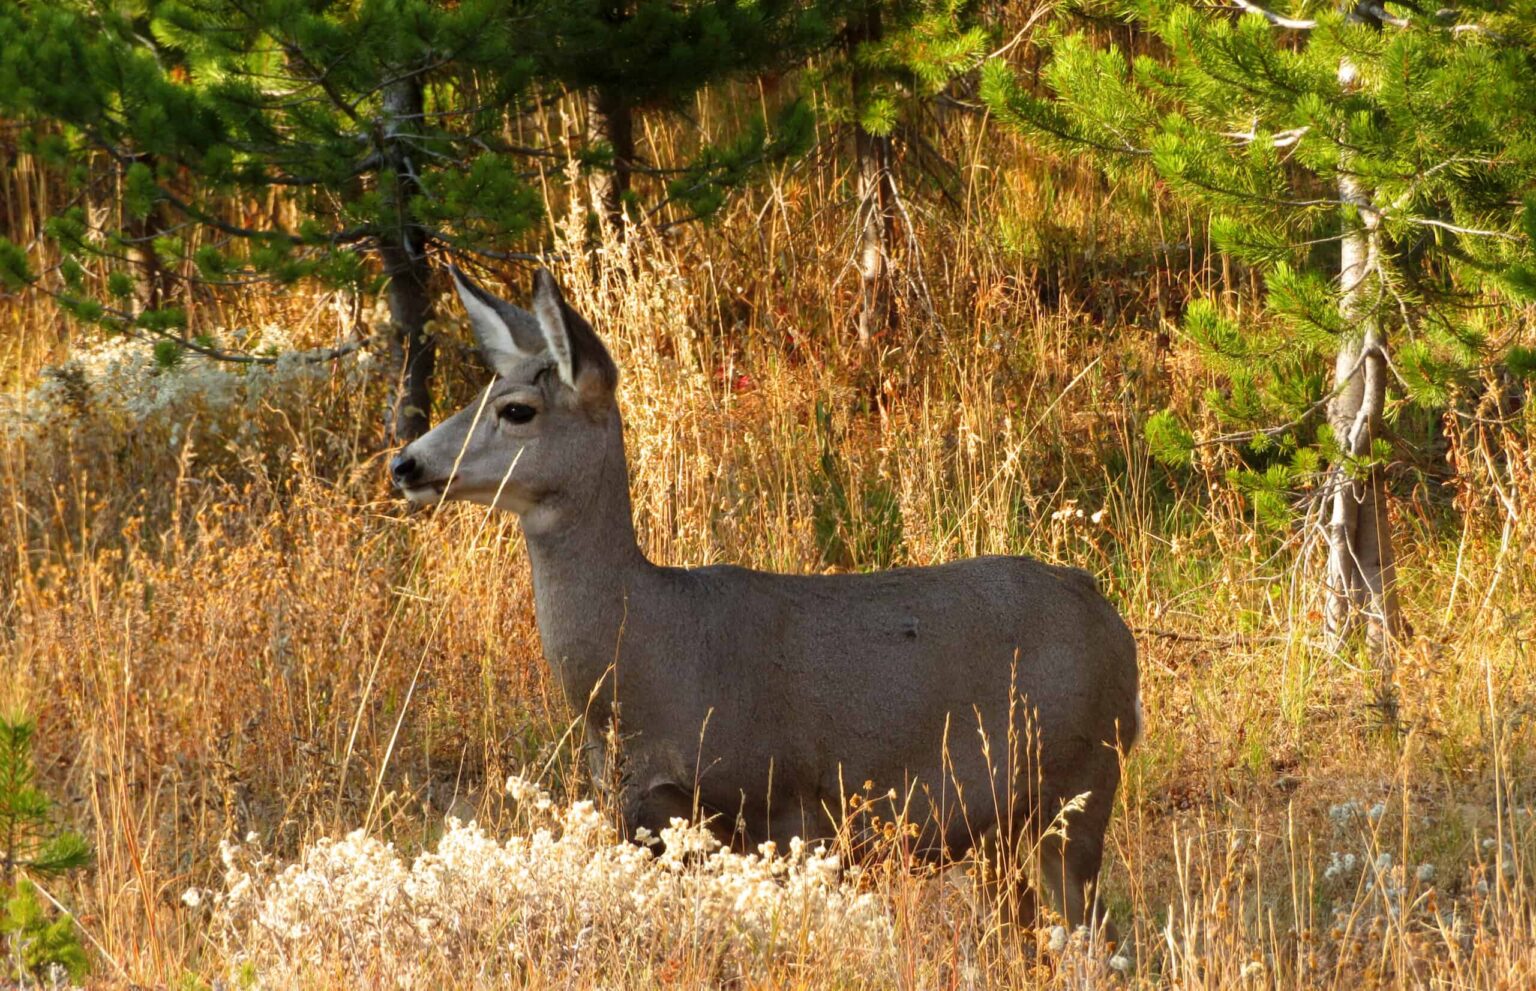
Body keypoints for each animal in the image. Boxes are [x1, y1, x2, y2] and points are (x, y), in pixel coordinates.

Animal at [390, 267, 1142, 934]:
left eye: (516, 409)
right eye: (479, 392)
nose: (406, 463)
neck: (653, 653)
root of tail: (1111, 620)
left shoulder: (786, 809)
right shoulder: (645, 819)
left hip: (1078, 784)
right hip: (1007, 828)